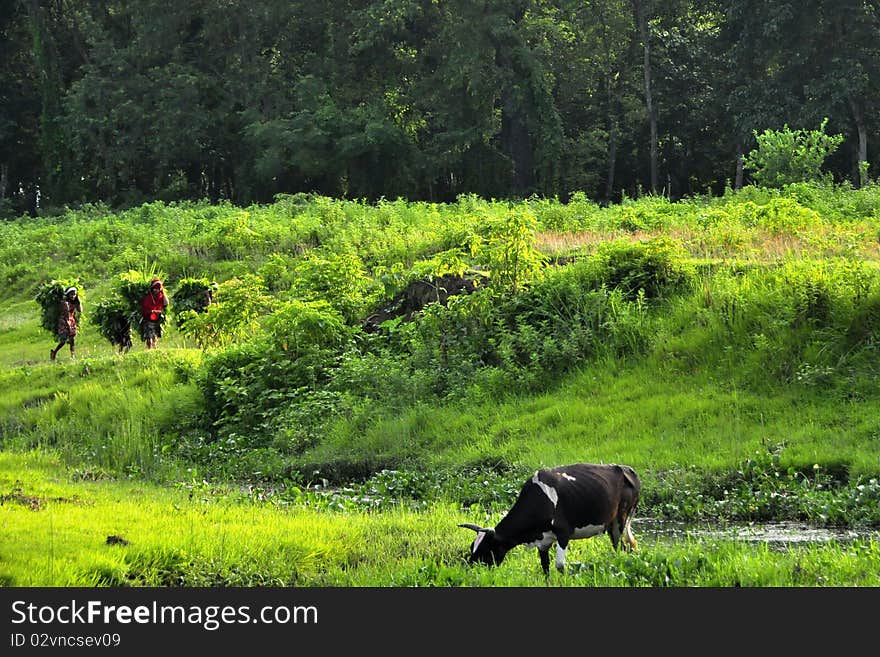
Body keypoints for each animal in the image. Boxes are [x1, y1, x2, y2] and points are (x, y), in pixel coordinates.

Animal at [460, 462, 640, 576]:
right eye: (472, 547)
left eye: (487, 549)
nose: (470, 568)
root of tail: (625, 469)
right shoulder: (543, 541)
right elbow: (545, 566)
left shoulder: (563, 533)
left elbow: (560, 566)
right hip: (611, 523)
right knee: (620, 547)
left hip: (621, 519)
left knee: (622, 547)